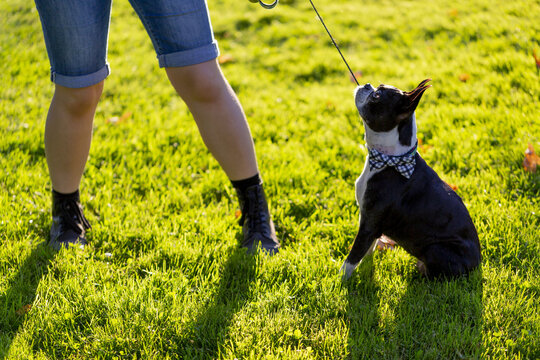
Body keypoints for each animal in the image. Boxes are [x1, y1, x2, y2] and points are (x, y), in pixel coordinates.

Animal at [342, 80, 480, 280]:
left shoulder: (370, 224)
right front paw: (364, 269)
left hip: (436, 249)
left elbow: (352, 257)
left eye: (376, 96)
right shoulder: (369, 220)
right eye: (377, 87)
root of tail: (477, 265)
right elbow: (367, 250)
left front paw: (339, 282)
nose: (367, 85)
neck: (390, 159)